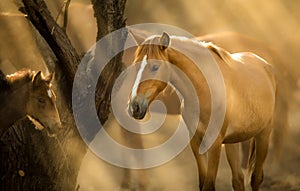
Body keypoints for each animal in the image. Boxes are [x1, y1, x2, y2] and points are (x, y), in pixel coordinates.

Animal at [129, 32, 276, 190]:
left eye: (155, 67)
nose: (135, 106)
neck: (204, 89)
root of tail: (265, 64)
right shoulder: (196, 141)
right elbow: (203, 183)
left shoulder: (214, 144)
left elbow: (209, 185)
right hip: (233, 142)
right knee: (238, 179)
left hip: (263, 135)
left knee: (256, 178)